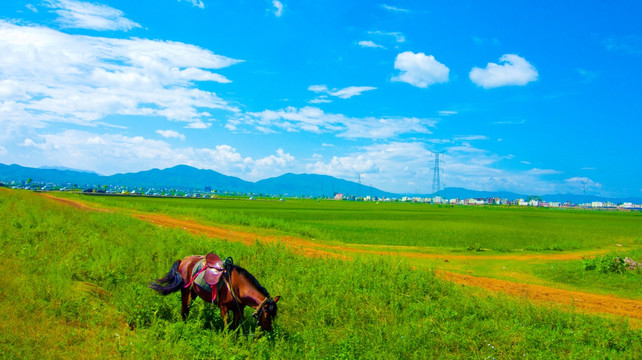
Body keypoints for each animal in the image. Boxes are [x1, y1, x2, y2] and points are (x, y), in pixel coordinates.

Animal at [151, 256, 282, 332]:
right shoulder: (223, 307)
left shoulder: (238, 310)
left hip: (193, 293)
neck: (238, 286)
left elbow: (234, 326)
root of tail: (184, 260)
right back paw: (184, 326)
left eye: (274, 315)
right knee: (185, 310)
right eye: (267, 315)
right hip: (186, 291)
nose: (269, 330)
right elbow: (227, 324)